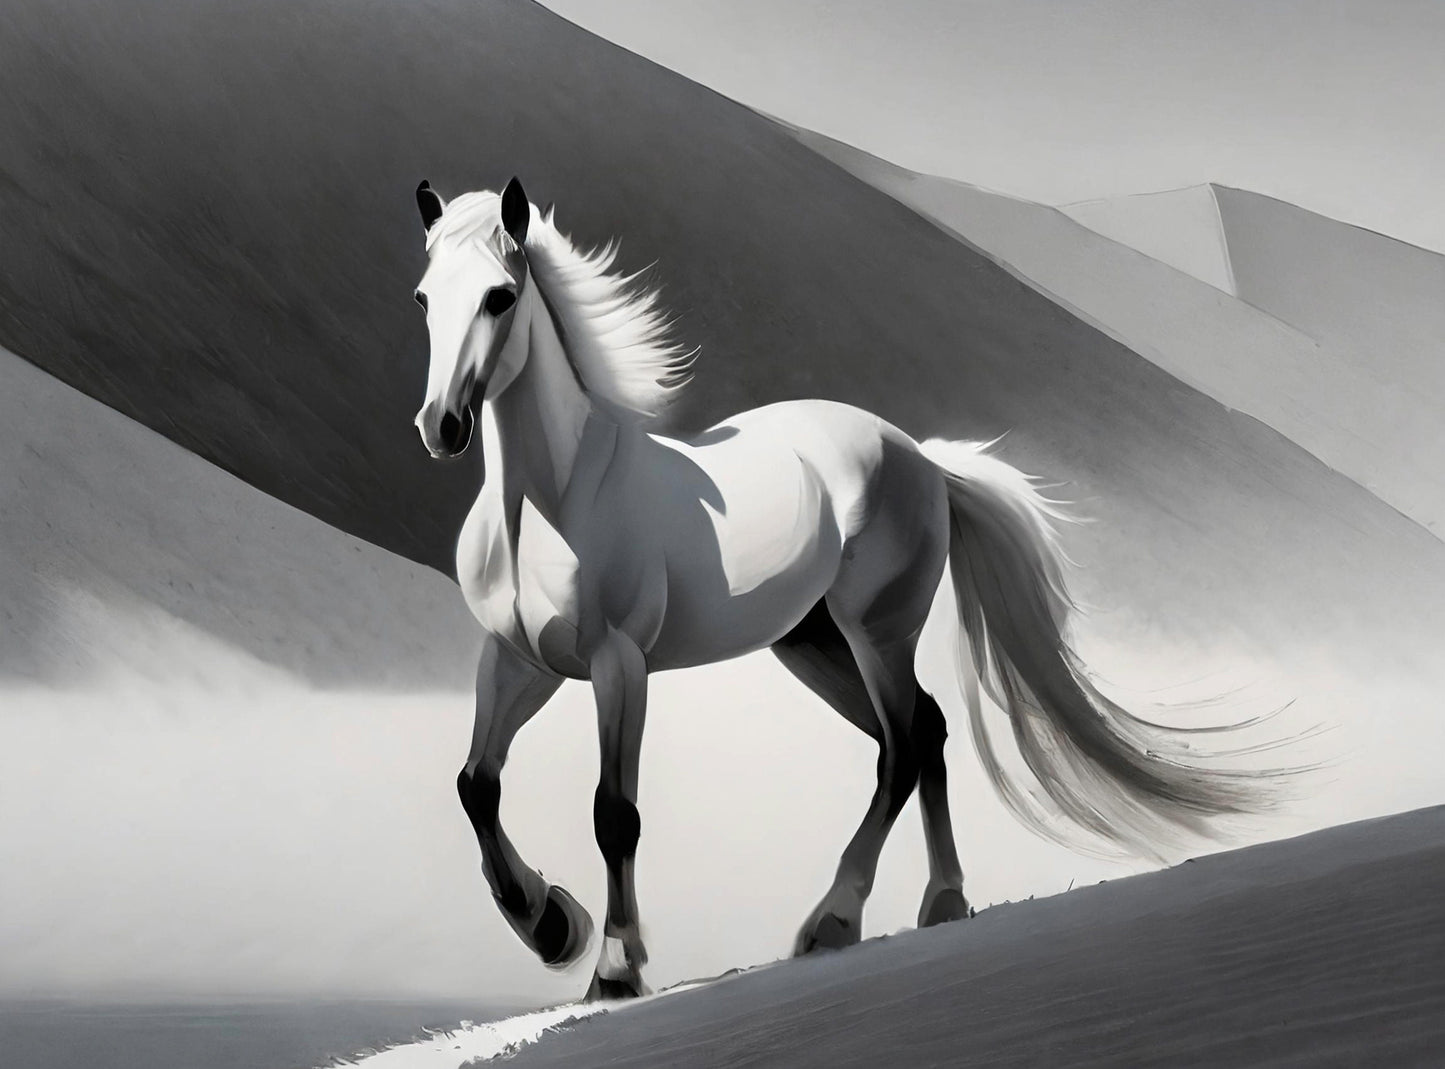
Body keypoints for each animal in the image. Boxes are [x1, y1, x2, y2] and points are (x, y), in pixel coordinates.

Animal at [409, 177, 1277, 1000]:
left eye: (500, 296)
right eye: (422, 296)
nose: (441, 426)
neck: (553, 502)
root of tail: (921, 456)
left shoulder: (617, 664)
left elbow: (613, 813)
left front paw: (615, 969)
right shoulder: (519, 660)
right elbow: (474, 784)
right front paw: (551, 924)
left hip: (874, 632)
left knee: (901, 745)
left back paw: (835, 919)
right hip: (812, 643)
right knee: (923, 730)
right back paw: (942, 901)